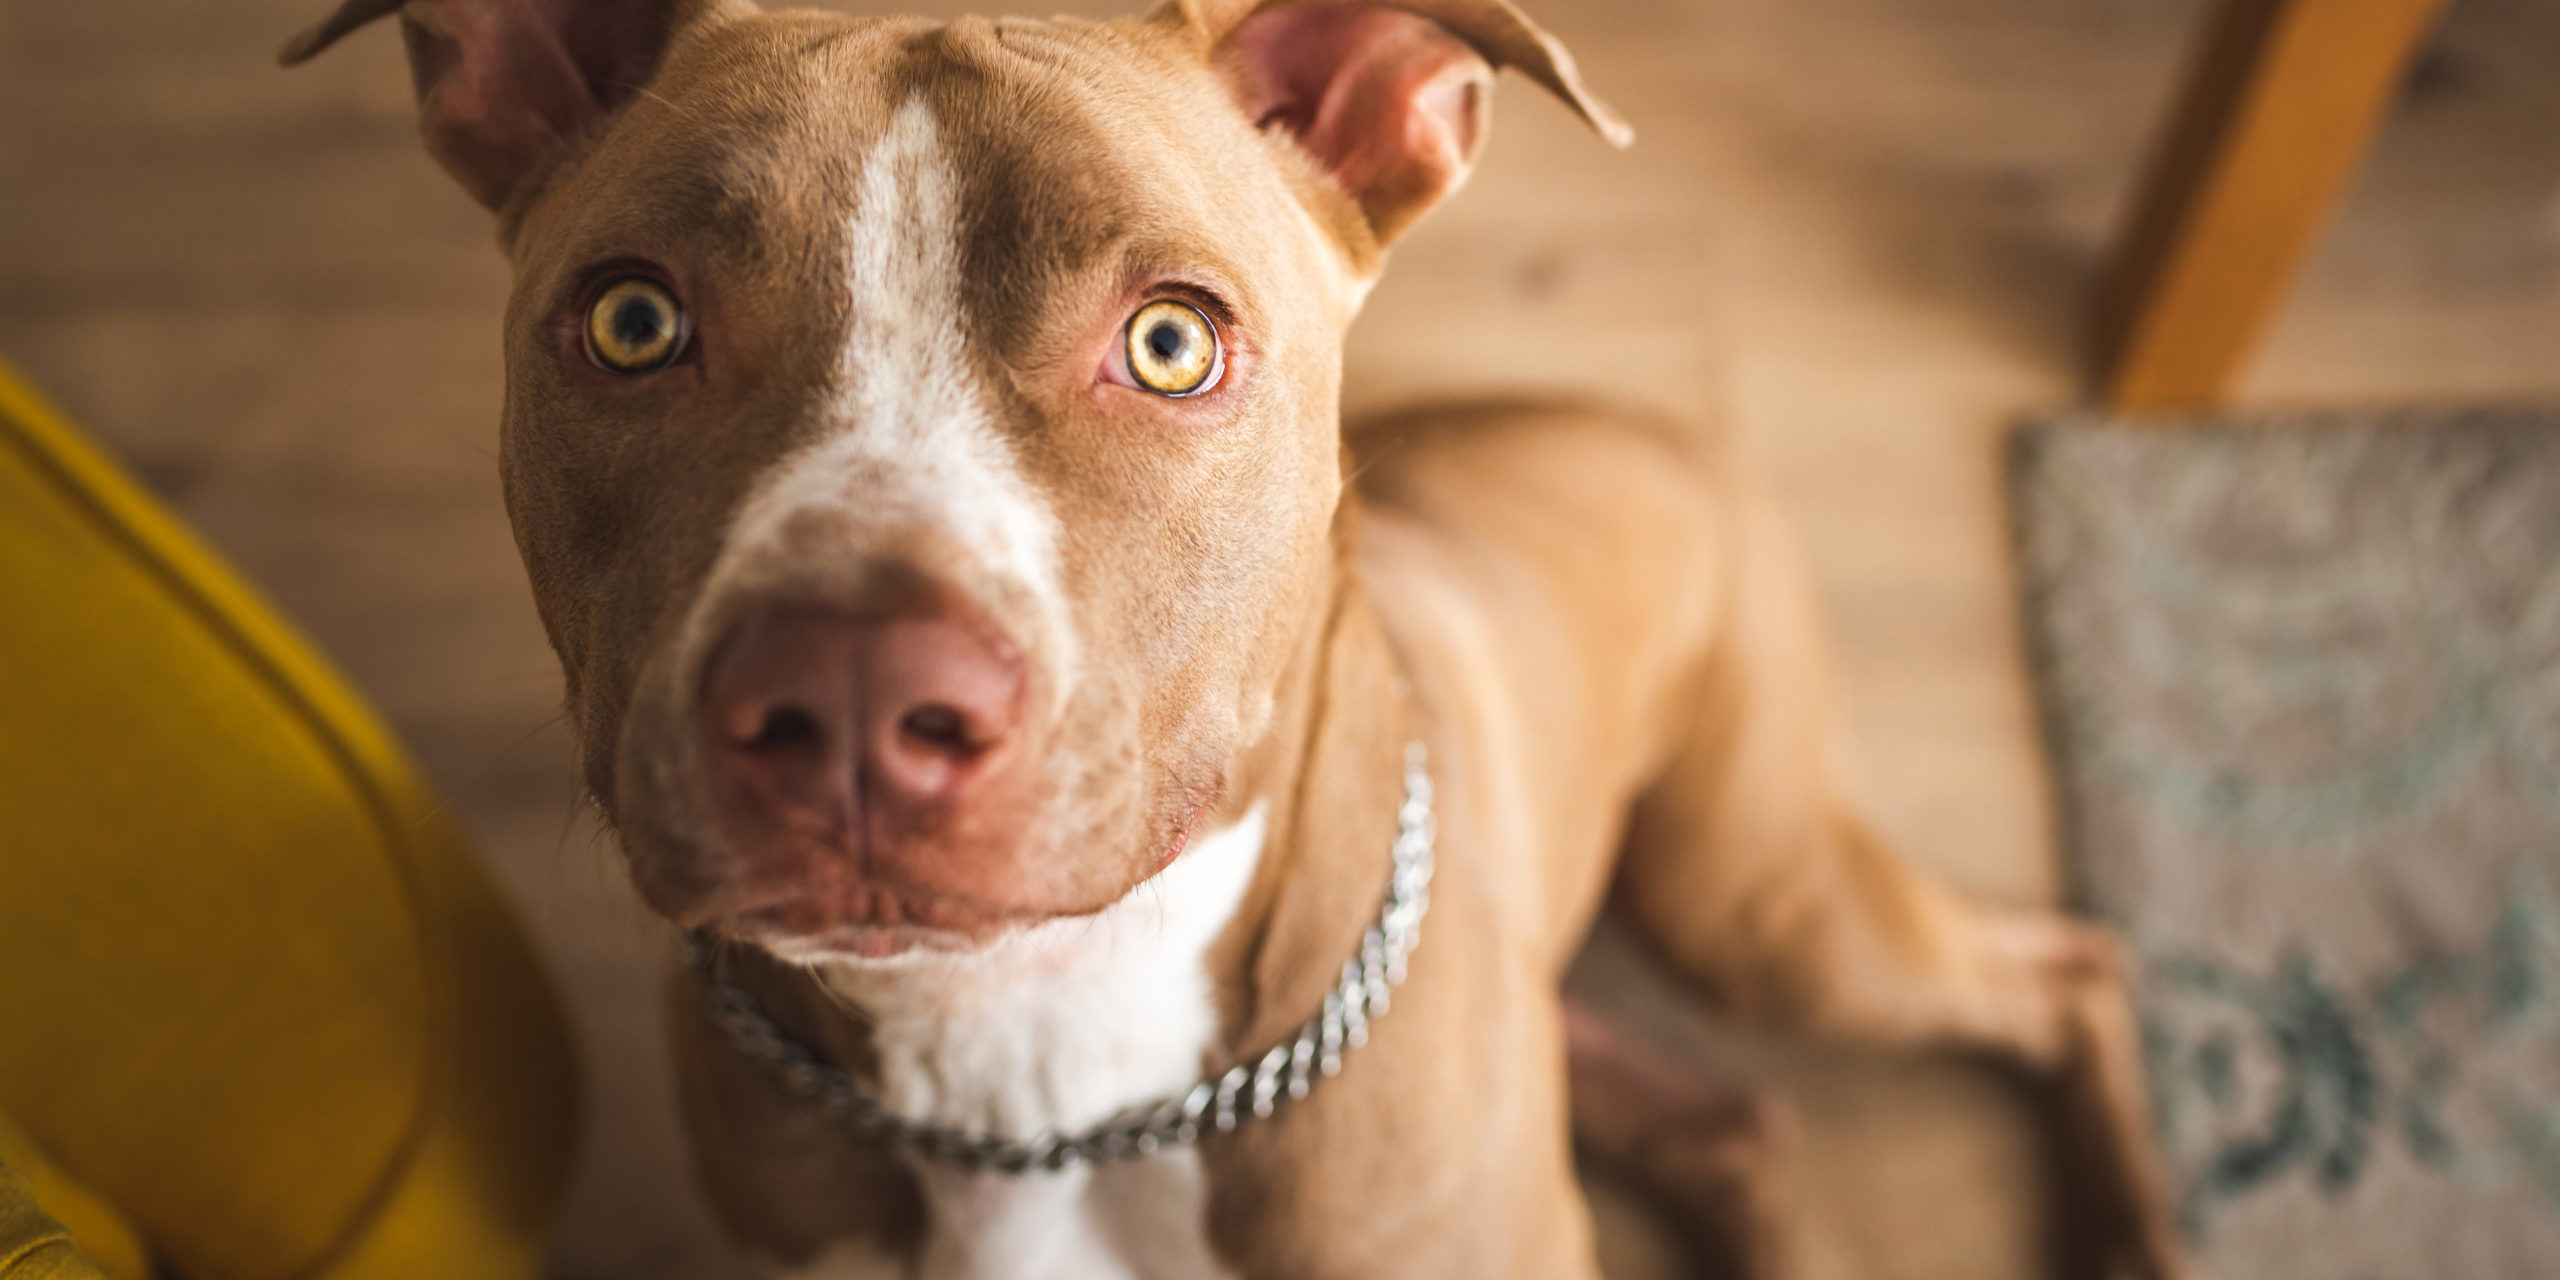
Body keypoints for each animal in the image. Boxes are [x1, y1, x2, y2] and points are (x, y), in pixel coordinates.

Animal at [285, 0, 2181, 1274]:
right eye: (631, 321)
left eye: (1173, 342)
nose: (849, 693)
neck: (1037, 1063)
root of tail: (1622, 417)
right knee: (1732, 1119)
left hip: (1759, 899)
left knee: (2068, 967)